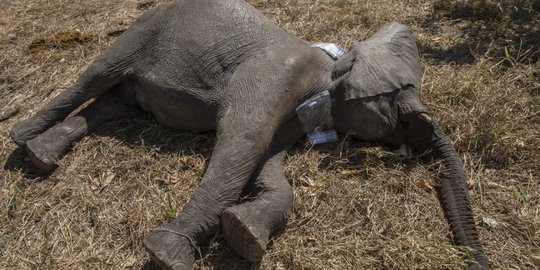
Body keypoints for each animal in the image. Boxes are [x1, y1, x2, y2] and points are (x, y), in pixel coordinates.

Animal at [8, 0, 490, 268]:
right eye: (400, 107)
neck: (332, 63)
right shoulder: (274, 76)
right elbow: (241, 143)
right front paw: (167, 254)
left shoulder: (293, 118)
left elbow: (266, 167)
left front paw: (243, 233)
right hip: (144, 29)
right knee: (95, 78)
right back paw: (20, 139)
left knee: (113, 102)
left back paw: (40, 155)